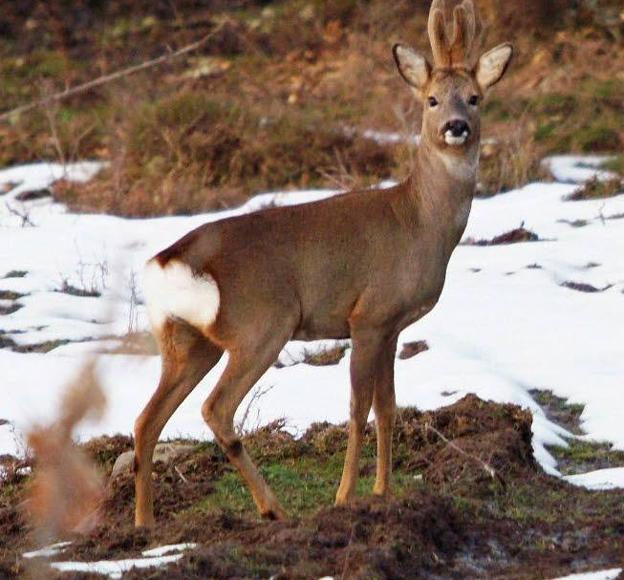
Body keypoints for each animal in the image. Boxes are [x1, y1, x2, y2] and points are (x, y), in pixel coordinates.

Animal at [134, 0, 510, 524]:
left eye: (475, 98)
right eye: (432, 100)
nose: (456, 127)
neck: (420, 222)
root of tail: (168, 263)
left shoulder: (392, 325)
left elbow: (388, 407)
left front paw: (383, 492)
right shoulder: (368, 314)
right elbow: (358, 407)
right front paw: (346, 496)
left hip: (187, 340)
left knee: (146, 419)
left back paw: (143, 524)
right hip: (262, 323)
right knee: (215, 409)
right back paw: (273, 509)